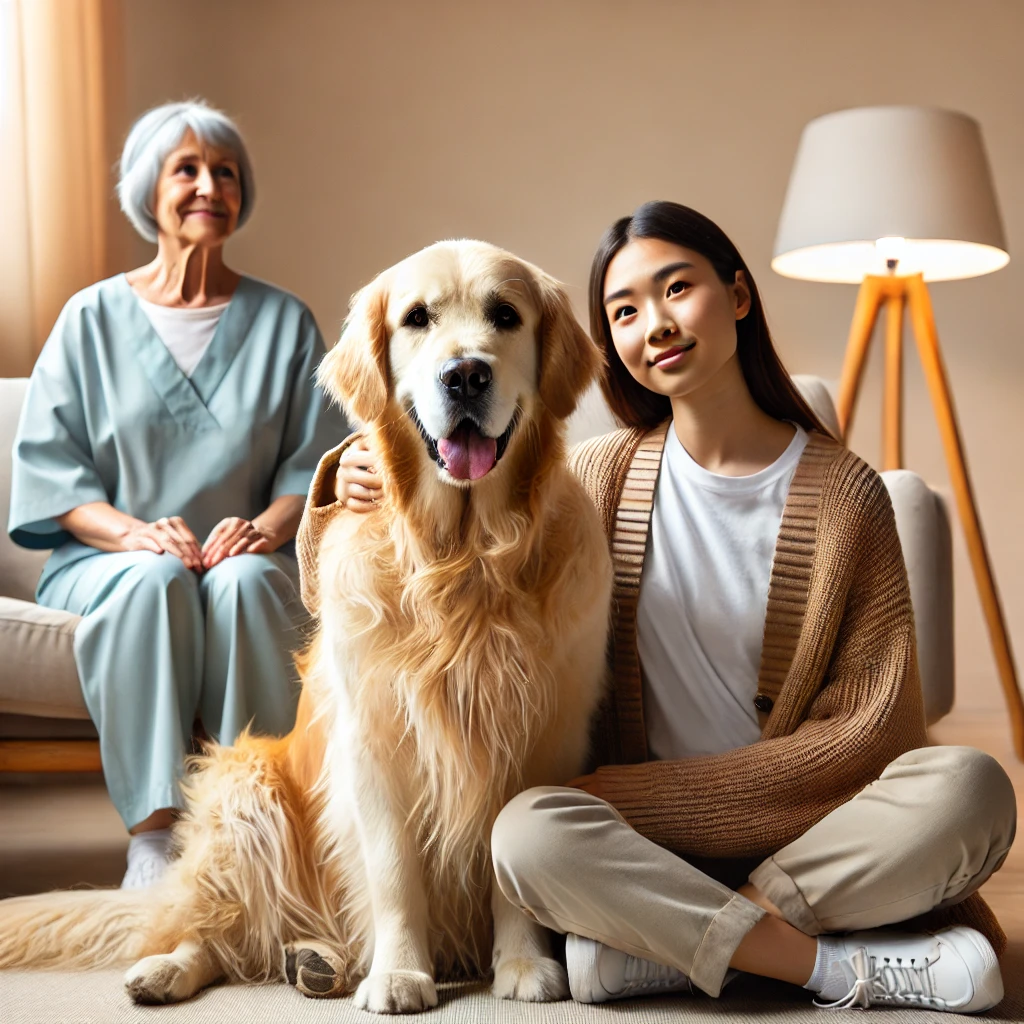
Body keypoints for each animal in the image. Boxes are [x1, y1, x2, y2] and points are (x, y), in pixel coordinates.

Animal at [0, 241, 610, 1015]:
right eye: (418, 318)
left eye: (506, 316)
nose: (466, 374)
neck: (462, 559)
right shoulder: (375, 741)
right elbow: (392, 870)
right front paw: (400, 974)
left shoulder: (544, 734)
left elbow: (512, 859)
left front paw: (525, 963)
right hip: (245, 791)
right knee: (220, 931)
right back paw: (172, 969)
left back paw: (315, 958)